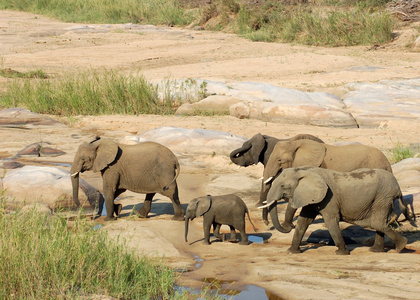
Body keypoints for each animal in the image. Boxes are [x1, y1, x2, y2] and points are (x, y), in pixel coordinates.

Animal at [262, 166, 414, 255]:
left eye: (283, 186)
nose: (289, 226)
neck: (304, 170)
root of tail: (398, 186)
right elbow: (304, 221)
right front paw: (292, 252)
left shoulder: (329, 199)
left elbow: (331, 221)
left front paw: (341, 253)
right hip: (381, 198)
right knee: (379, 223)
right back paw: (376, 251)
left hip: (383, 196)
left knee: (377, 223)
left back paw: (401, 247)